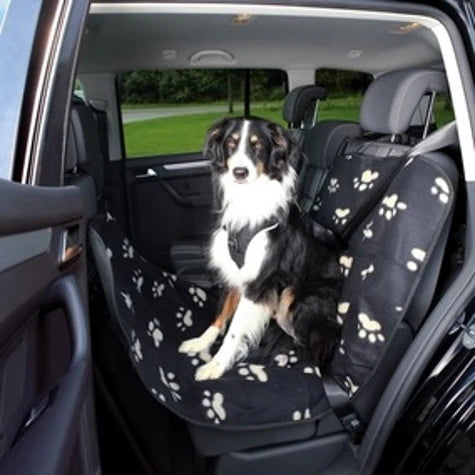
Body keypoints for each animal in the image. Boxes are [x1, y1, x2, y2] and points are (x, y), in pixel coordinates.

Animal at [179, 117, 342, 382]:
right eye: (231, 143)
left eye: (258, 146)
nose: (240, 172)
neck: (248, 198)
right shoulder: (236, 275)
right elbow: (221, 315)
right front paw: (201, 343)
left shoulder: (258, 284)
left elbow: (235, 331)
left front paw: (217, 365)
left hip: (294, 294)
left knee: (310, 339)